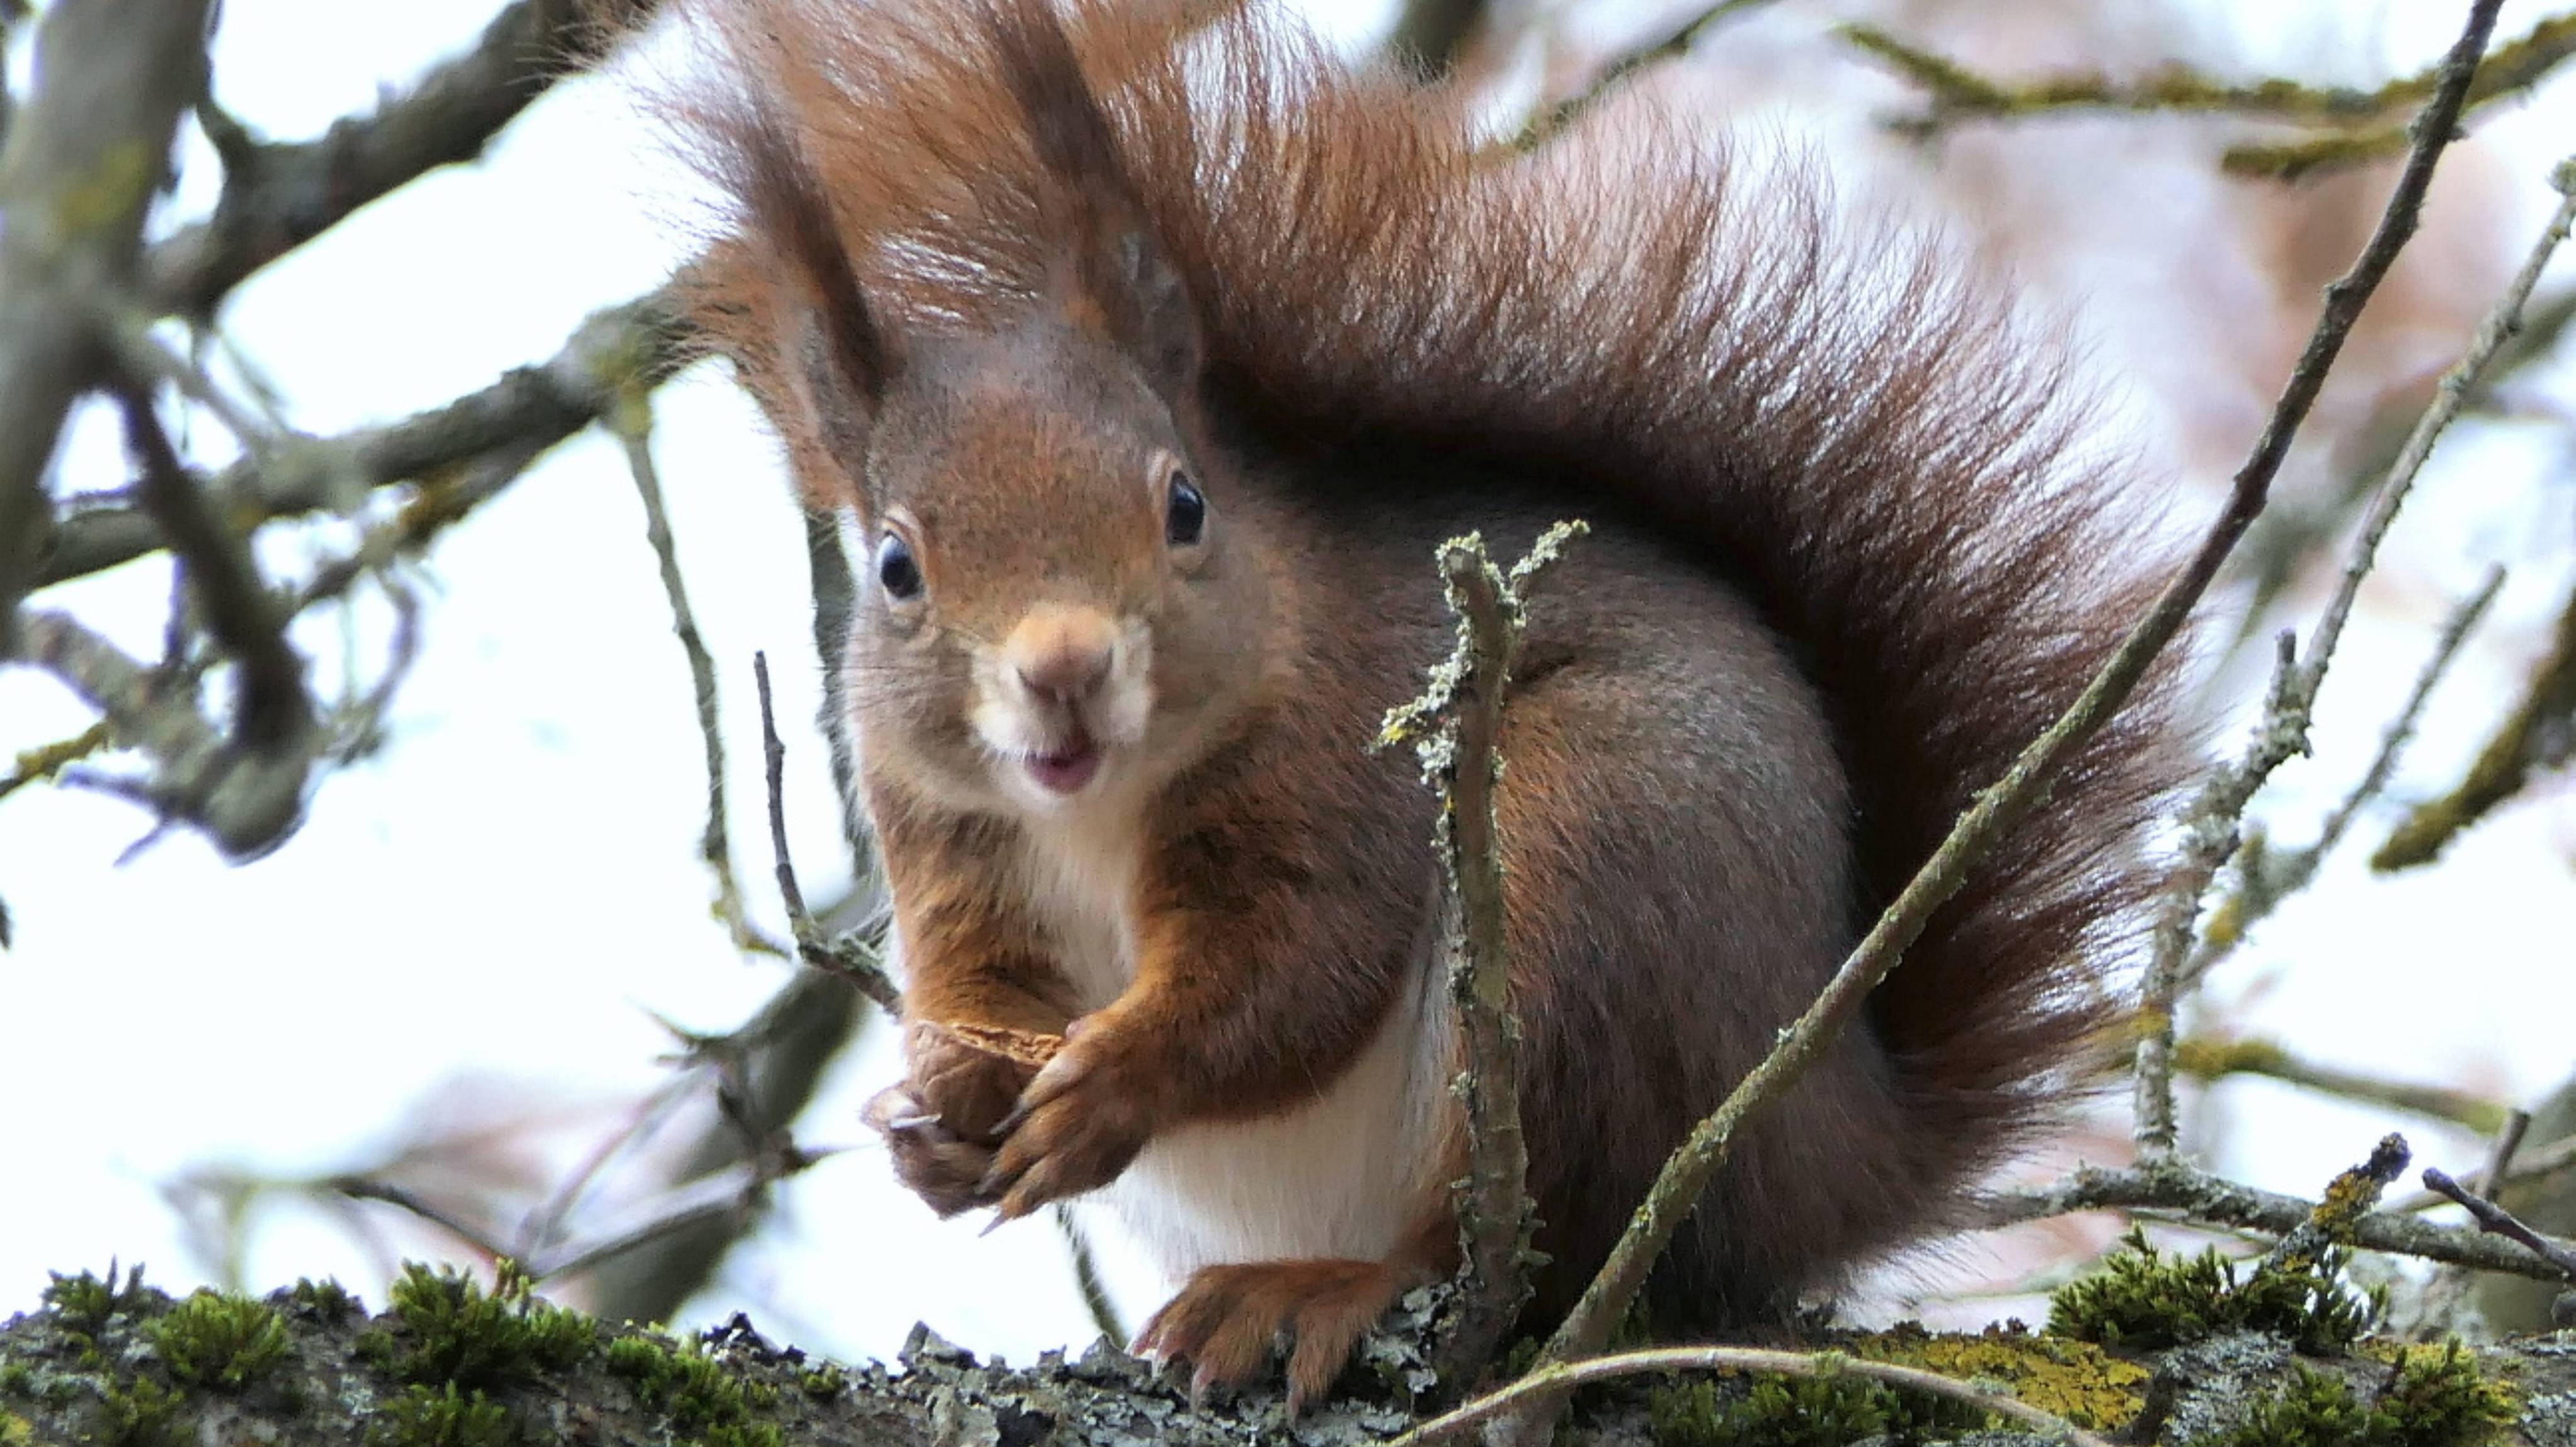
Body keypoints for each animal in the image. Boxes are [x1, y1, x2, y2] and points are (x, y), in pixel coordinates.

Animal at [654, 0, 2184, 1410]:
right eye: (895, 566)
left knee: (1514, 1250)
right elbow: (980, 990)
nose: (1062, 666)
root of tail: (1845, 1143)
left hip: (1596, 865)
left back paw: (1321, 1288)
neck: (1095, 808)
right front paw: (932, 1117)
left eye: (1184, 503)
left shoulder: (1333, 761)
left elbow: (1295, 974)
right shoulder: (947, 841)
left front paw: (1114, 1082)